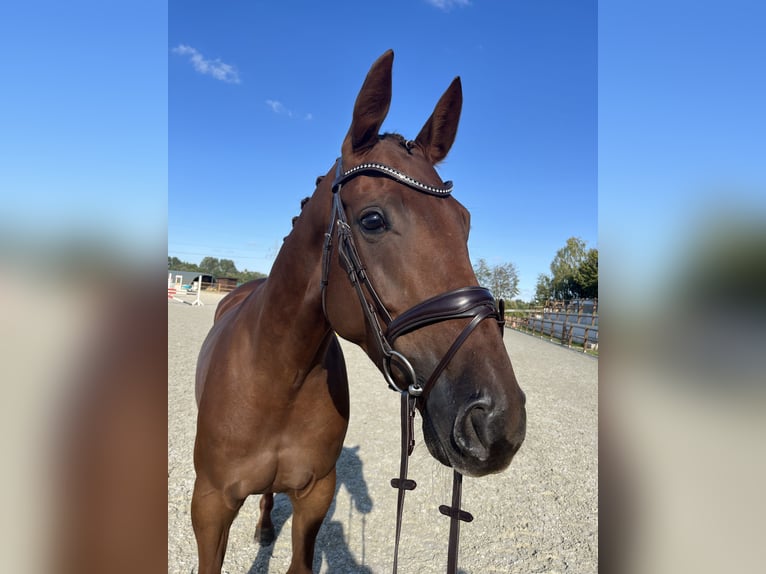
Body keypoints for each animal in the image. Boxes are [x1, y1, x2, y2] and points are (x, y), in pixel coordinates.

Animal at [192, 50, 528, 574]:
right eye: (372, 220)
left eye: (465, 222)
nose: (497, 421)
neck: (278, 379)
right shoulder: (208, 506)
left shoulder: (316, 495)